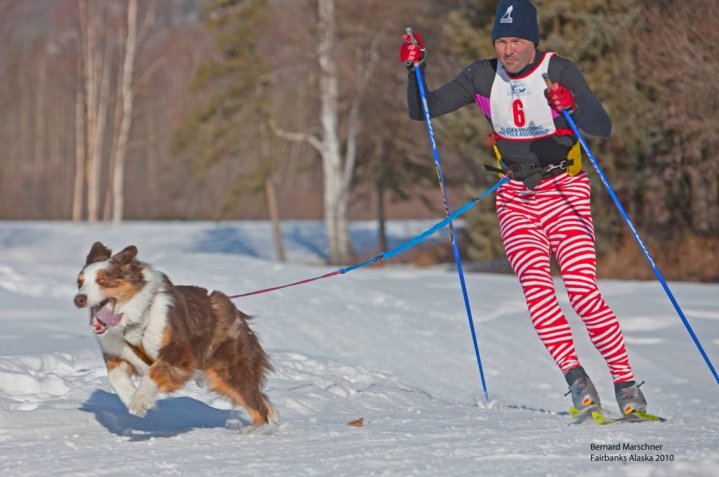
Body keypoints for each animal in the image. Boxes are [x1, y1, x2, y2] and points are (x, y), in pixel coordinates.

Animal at [73, 244, 276, 426]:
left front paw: (140, 401)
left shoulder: (180, 352)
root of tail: (236, 313)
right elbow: (115, 377)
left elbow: (155, 372)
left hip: (228, 370)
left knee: (258, 408)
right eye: (80, 282)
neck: (134, 322)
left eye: (102, 280)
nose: (78, 299)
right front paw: (131, 396)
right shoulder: (116, 353)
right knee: (263, 403)